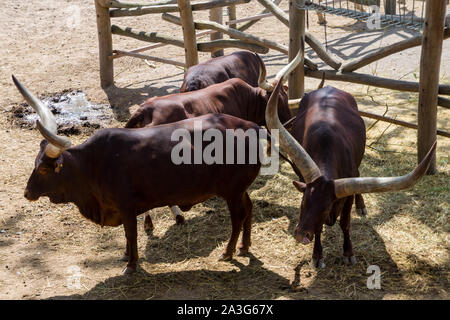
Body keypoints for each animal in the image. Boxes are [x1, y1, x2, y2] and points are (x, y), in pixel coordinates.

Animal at [266, 73, 438, 268]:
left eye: (325, 208)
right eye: (303, 203)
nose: (300, 235)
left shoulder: (346, 194)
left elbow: (345, 223)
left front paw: (348, 252)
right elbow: (319, 228)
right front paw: (317, 256)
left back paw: (361, 206)